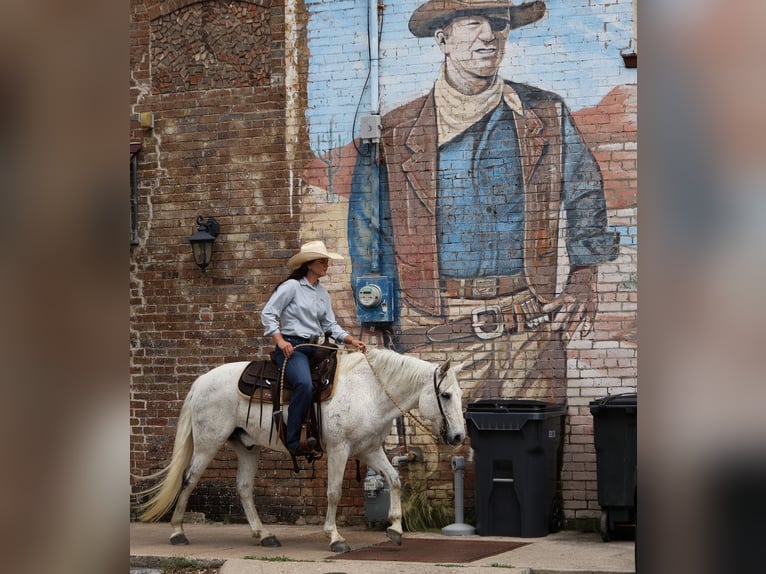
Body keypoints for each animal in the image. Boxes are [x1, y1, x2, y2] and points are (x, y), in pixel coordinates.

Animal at [134, 348, 464, 556]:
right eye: (446, 395)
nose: (459, 436)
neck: (368, 392)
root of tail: (202, 381)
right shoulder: (340, 449)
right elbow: (333, 493)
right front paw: (335, 537)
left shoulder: (368, 449)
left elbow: (394, 479)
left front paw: (395, 528)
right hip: (207, 442)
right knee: (188, 479)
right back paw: (177, 532)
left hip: (246, 447)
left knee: (243, 488)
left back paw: (264, 535)